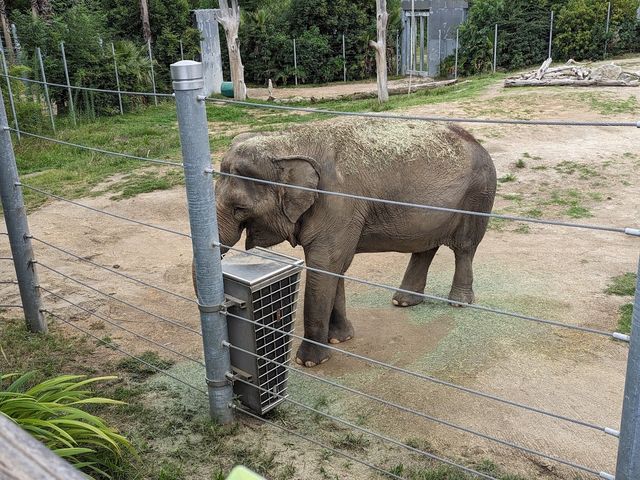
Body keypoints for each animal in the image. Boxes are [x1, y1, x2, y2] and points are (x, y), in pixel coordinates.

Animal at [212, 119, 498, 368]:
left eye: (239, 208)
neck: (289, 140)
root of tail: (477, 141)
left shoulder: (338, 204)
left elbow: (325, 265)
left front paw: (309, 362)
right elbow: (335, 266)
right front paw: (341, 338)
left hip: (478, 195)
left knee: (464, 247)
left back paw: (458, 302)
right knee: (425, 247)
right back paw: (404, 301)